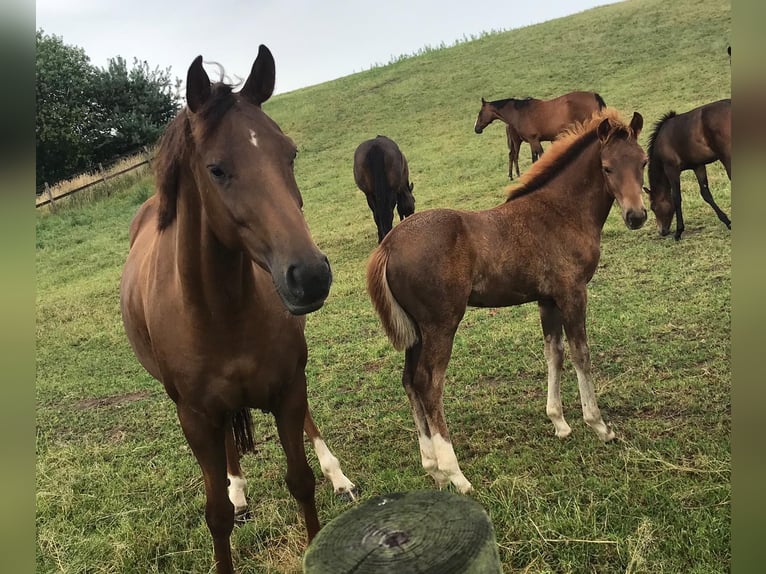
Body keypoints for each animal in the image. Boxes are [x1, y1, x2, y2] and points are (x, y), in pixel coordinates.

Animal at [119, 45, 356, 574]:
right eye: (216, 169)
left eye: (289, 153)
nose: (310, 274)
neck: (221, 312)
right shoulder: (195, 417)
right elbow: (217, 516)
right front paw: (232, 498)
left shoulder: (289, 388)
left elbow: (300, 480)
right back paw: (239, 489)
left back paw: (338, 474)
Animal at [368, 109, 648, 496]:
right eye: (606, 168)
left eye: (643, 162)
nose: (637, 216)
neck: (561, 211)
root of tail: (388, 246)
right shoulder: (573, 292)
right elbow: (581, 353)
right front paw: (599, 425)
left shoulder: (547, 299)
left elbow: (554, 353)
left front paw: (559, 422)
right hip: (441, 324)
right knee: (428, 384)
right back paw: (455, 473)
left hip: (416, 331)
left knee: (409, 380)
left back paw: (432, 467)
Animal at [476, 90, 608, 174]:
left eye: (480, 113)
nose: (476, 128)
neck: (519, 112)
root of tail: (594, 95)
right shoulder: (532, 141)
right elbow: (535, 159)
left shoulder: (534, 140)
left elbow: (540, 156)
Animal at [644, 100, 736, 240]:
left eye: (653, 207)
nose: (662, 231)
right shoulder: (698, 166)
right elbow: (706, 194)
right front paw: (727, 221)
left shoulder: (672, 170)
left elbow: (676, 197)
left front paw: (678, 232)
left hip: (727, 157)